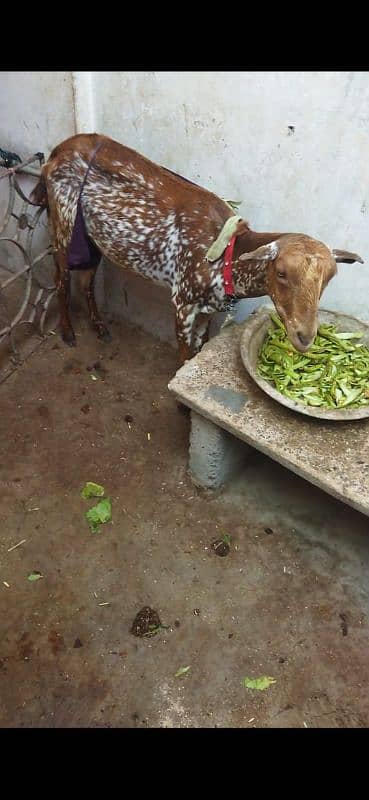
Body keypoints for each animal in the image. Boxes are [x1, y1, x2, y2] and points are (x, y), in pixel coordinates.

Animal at [31, 134, 362, 366]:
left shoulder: (208, 309)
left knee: (86, 279)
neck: (226, 254)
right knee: (61, 278)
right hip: (63, 221)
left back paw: (99, 327)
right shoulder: (183, 300)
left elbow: (199, 346)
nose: (305, 337)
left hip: (91, 237)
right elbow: (183, 353)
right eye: (281, 272)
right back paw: (68, 332)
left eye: (330, 277)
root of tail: (55, 153)